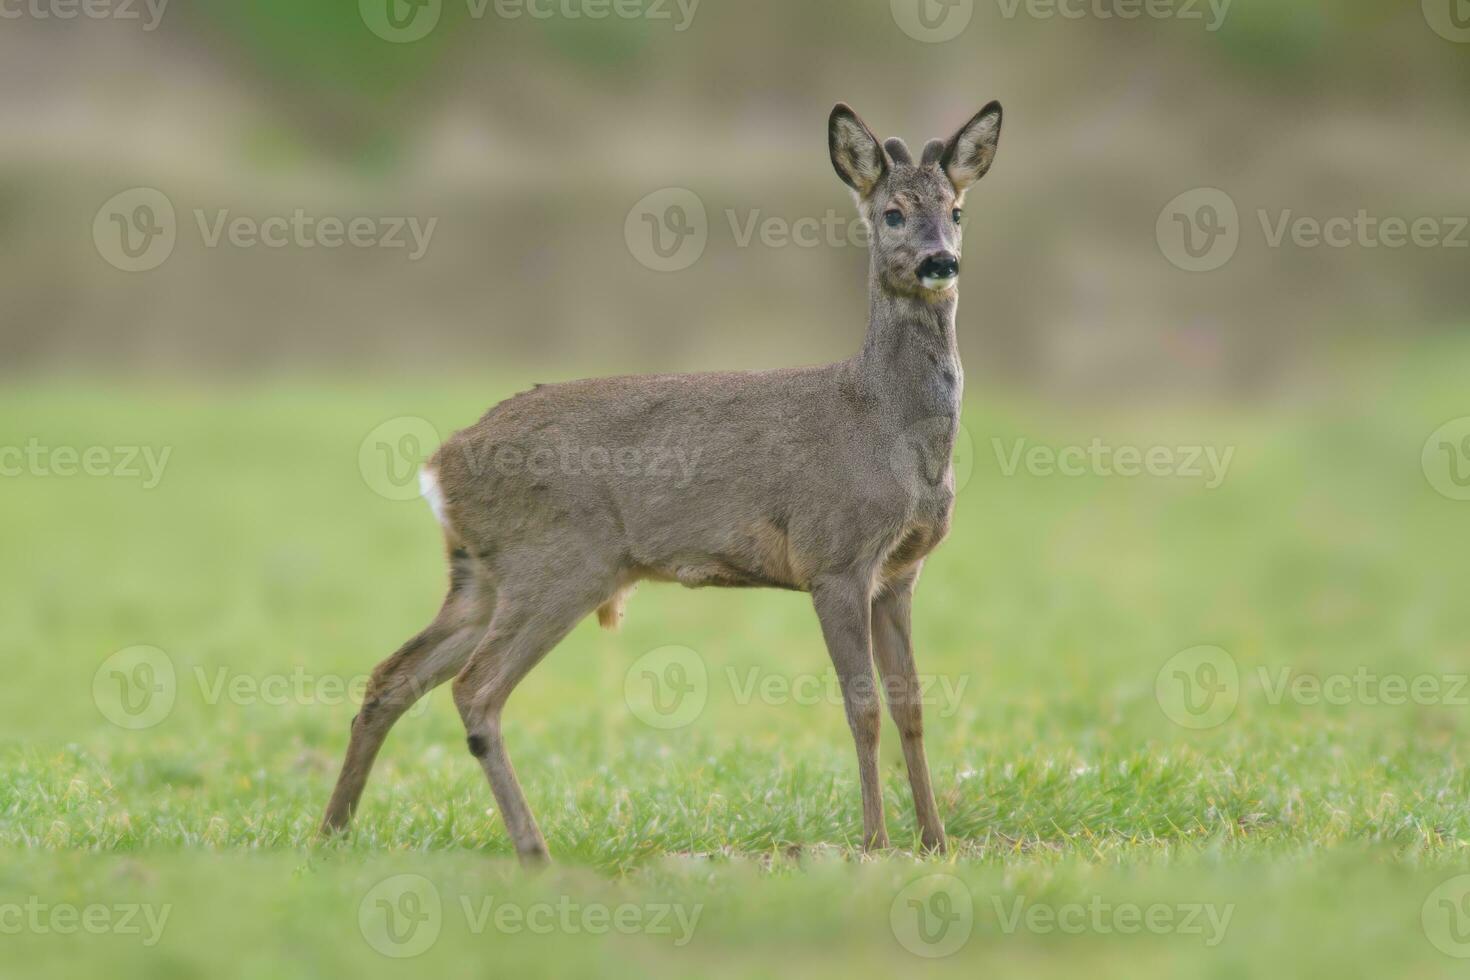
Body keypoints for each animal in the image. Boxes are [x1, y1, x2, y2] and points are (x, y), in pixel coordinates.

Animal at [323, 103, 1005, 863]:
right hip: (560, 560)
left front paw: (936, 843)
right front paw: (875, 843)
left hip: (481, 574)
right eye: (892, 212)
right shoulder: (834, 557)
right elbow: (863, 707)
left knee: (391, 676)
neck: (886, 423)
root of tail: (439, 465)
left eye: (957, 209)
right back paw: (533, 850)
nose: (939, 260)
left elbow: (912, 704)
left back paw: (332, 833)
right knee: (476, 689)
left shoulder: (901, 572)